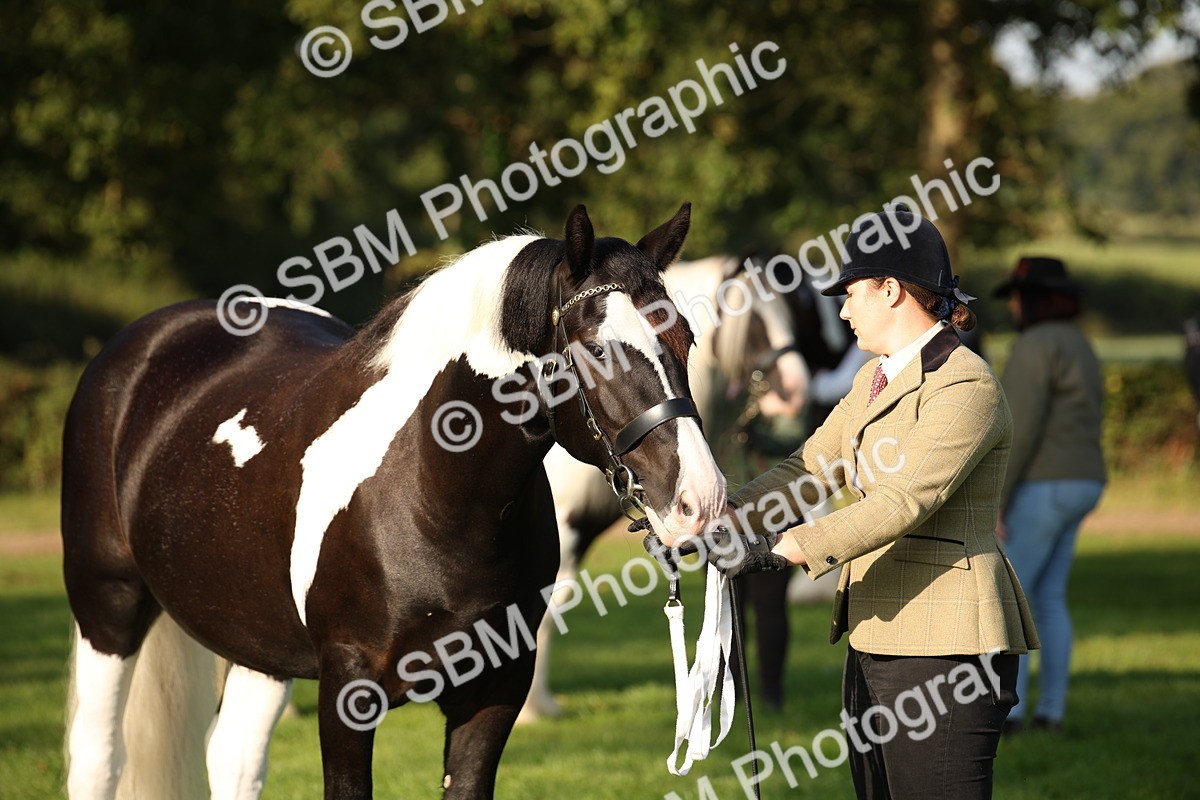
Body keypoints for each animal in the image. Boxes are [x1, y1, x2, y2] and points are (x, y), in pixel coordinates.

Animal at [61, 203, 727, 800]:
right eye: (597, 348)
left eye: (687, 337)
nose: (700, 499)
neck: (433, 500)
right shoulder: (347, 691)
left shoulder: (496, 689)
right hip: (107, 605)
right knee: (99, 759)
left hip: (259, 645)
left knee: (232, 760)